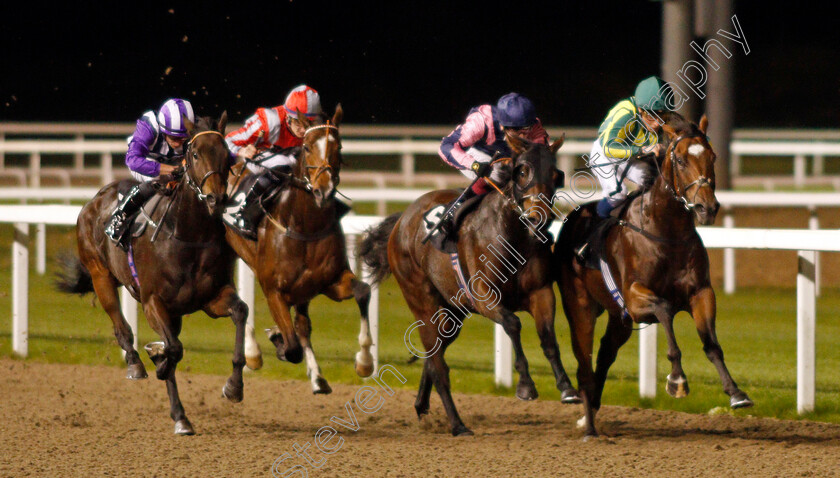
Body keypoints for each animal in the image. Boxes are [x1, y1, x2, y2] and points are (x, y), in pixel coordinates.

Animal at [54, 114, 246, 436]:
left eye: (226, 154)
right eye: (195, 154)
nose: (215, 198)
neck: (190, 236)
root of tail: (96, 199)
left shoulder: (212, 297)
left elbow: (240, 312)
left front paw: (233, 387)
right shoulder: (153, 301)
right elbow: (174, 350)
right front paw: (158, 362)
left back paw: (178, 411)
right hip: (101, 275)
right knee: (121, 326)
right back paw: (137, 365)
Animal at [223, 106, 374, 394]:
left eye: (339, 146)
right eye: (306, 147)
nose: (323, 190)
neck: (304, 226)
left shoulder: (329, 282)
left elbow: (363, 291)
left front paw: (364, 361)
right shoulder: (273, 291)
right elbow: (292, 348)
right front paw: (278, 341)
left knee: (303, 326)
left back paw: (317, 378)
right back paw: (253, 353)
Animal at [358, 135, 580, 436]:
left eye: (557, 174)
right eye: (522, 171)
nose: (539, 218)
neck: (512, 235)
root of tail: (402, 220)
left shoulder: (541, 292)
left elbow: (548, 338)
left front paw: (567, 388)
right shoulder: (484, 297)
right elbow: (513, 324)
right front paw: (525, 386)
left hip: (453, 312)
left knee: (436, 351)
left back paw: (421, 405)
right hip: (421, 300)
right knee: (439, 366)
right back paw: (457, 424)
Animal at [556, 114, 756, 438]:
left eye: (712, 156)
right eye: (680, 159)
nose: (707, 207)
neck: (666, 232)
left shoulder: (701, 292)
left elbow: (712, 344)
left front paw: (737, 393)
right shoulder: (635, 298)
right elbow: (664, 309)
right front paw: (677, 380)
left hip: (619, 317)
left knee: (605, 353)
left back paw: (590, 415)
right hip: (581, 307)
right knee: (584, 362)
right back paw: (589, 427)